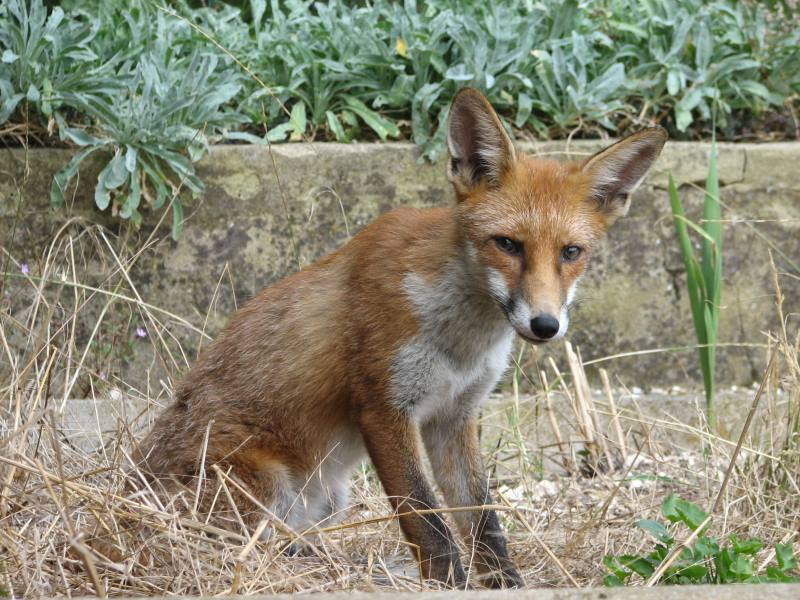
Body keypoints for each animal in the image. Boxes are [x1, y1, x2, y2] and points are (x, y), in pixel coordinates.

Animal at [136, 88, 666, 588]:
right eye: (508, 245)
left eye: (571, 252)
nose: (545, 325)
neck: (462, 343)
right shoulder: (385, 409)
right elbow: (427, 520)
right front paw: (449, 585)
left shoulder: (456, 416)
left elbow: (484, 523)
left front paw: (506, 584)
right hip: (268, 487)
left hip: (329, 498)